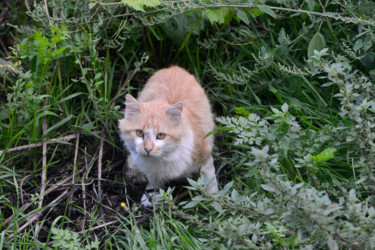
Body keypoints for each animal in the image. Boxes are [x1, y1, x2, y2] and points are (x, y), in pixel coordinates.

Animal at [117, 65, 217, 206]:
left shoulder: (204, 154)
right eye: (139, 133)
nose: (148, 149)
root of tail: (174, 67)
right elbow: (154, 182)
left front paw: (214, 200)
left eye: (160, 135)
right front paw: (151, 197)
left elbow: (210, 180)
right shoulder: (150, 170)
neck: (164, 159)